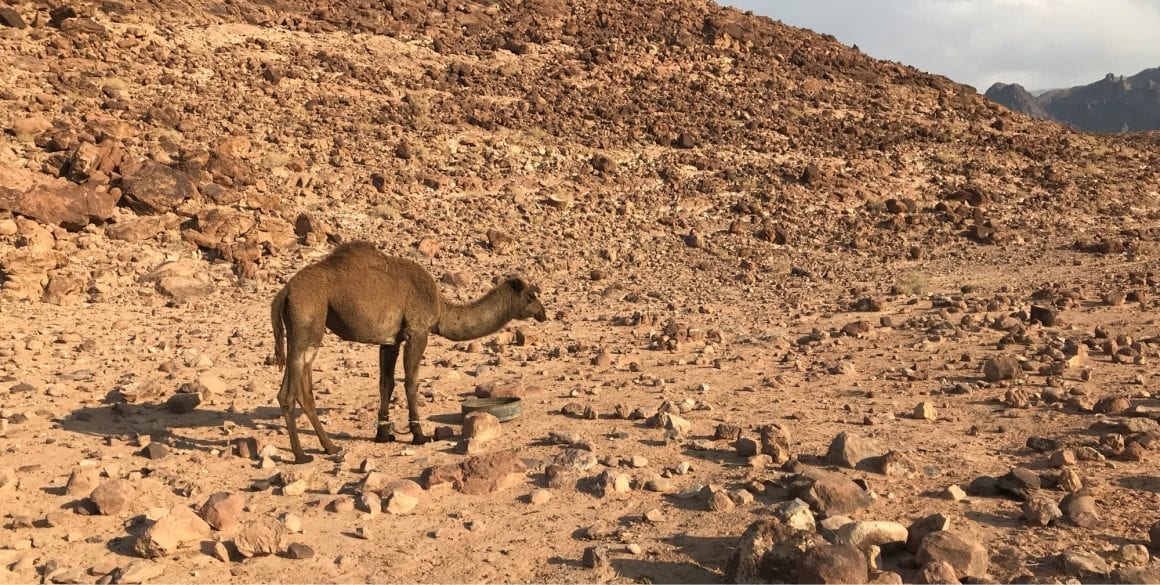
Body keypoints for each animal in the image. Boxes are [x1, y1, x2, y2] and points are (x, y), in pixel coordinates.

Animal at [271, 241, 547, 463]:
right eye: (530, 296)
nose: (543, 313)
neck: (441, 310)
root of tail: (284, 292)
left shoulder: (390, 340)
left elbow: (386, 383)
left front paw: (384, 434)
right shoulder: (417, 331)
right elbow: (411, 382)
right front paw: (419, 435)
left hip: (307, 330)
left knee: (304, 391)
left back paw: (330, 447)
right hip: (307, 320)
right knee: (287, 393)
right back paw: (301, 455)